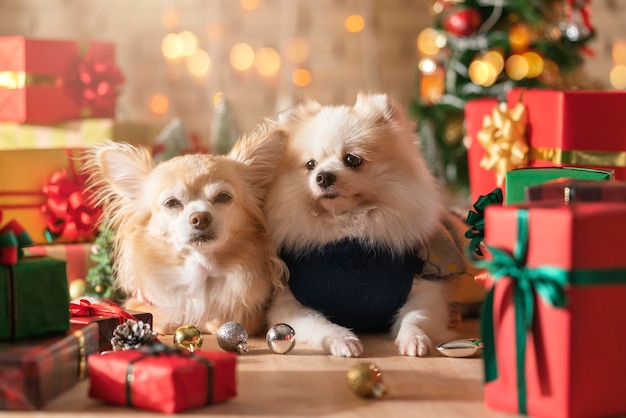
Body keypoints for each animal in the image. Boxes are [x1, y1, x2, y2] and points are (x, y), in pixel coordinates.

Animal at [84, 124, 286, 336]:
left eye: (223, 197)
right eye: (171, 203)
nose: (201, 217)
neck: (201, 269)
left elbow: (233, 319)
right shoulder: (139, 302)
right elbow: (161, 317)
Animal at [264, 93, 478, 358]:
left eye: (352, 159)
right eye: (310, 165)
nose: (323, 176)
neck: (348, 232)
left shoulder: (425, 292)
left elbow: (416, 318)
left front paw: (413, 339)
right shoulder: (289, 304)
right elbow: (318, 323)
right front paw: (342, 340)